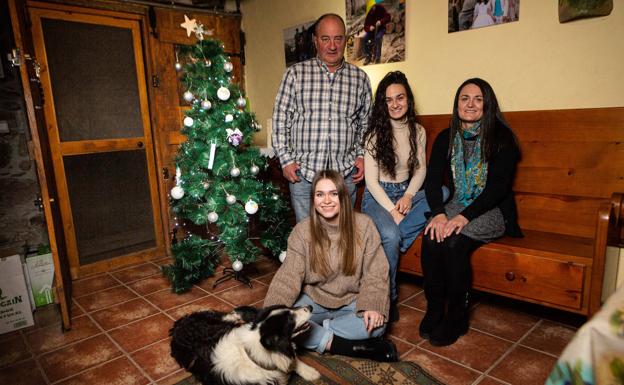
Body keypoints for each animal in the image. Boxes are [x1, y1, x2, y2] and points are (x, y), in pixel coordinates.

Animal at [169, 304, 320, 384]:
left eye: (289, 307)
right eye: (290, 319)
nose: (310, 306)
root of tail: (177, 325)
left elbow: (294, 361)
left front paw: (311, 373)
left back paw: (236, 315)